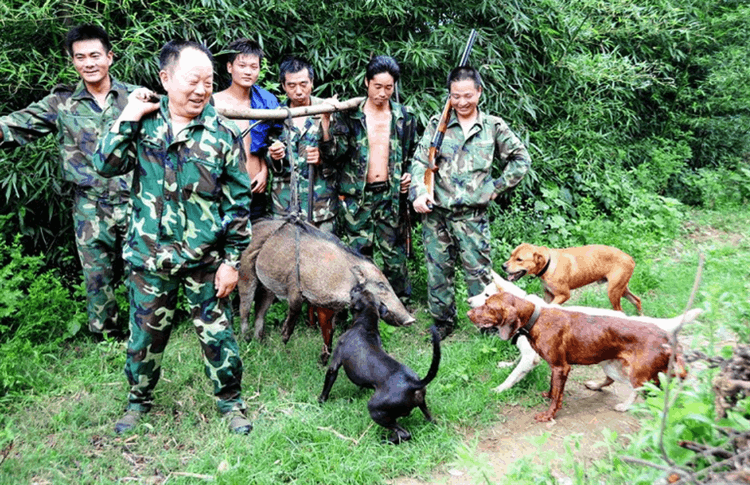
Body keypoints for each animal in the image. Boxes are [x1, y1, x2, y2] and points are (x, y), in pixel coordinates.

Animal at [318, 282, 440, 444]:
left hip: (375, 410)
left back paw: (384, 440)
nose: (357, 284)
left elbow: (327, 385)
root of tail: (413, 383)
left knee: (404, 434)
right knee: (430, 420)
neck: (365, 324)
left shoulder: (334, 364)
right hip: (423, 407)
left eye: (358, 291)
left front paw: (320, 402)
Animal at [502, 242, 644, 314]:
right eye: (511, 255)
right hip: (621, 289)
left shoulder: (563, 295)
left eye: (519, 259)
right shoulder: (548, 295)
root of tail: (630, 258)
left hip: (613, 291)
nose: (503, 266)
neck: (548, 264)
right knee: (637, 300)